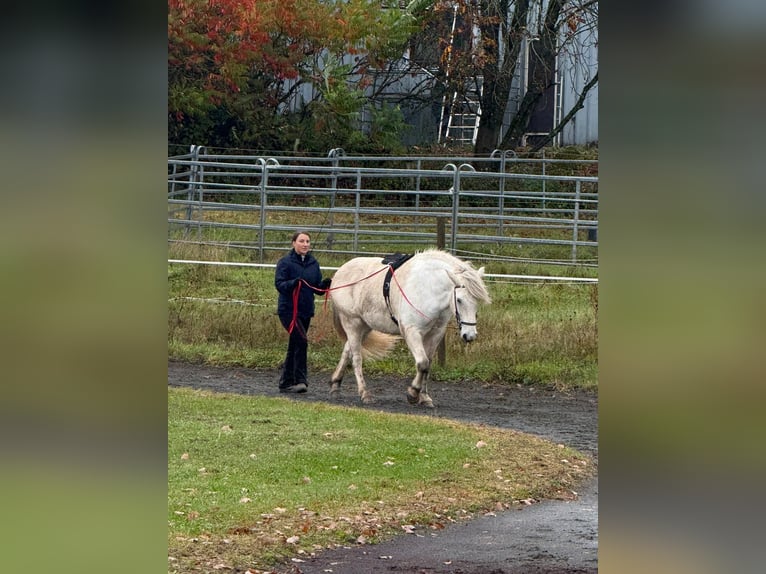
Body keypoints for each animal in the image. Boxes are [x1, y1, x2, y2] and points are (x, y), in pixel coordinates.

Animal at [328, 249, 492, 408]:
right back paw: (364, 393)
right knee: (356, 358)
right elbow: (422, 363)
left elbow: (428, 364)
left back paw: (335, 385)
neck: (429, 289)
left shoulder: (436, 333)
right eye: (459, 300)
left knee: (347, 350)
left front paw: (424, 397)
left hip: (365, 326)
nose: (469, 335)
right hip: (352, 322)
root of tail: (339, 272)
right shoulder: (412, 331)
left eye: (477, 301)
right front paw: (413, 393)